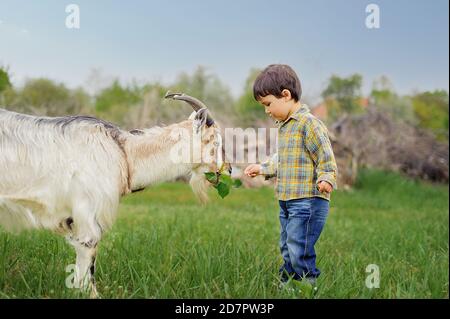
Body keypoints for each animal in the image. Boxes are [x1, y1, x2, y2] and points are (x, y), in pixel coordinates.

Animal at [0, 92, 230, 298]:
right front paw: (88, 293)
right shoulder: (87, 214)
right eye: (215, 141)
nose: (227, 170)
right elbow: (88, 256)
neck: (125, 154)